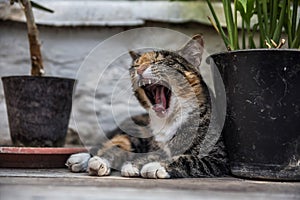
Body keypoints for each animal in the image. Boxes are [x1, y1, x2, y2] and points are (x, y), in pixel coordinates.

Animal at [66, 34, 230, 178]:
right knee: (114, 145)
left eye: (159, 61)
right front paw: (135, 165)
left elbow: (188, 159)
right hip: (137, 131)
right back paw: (89, 161)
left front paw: (153, 166)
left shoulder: (218, 157)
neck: (167, 121)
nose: (139, 69)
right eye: (135, 65)